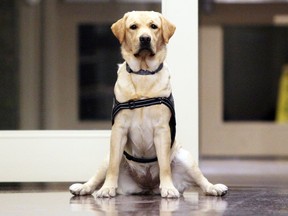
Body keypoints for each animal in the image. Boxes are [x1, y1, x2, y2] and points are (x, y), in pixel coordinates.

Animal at [70, 11, 227, 198]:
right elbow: (113, 167)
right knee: (99, 174)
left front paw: (168, 187)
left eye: (154, 26)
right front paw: (107, 188)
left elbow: (164, 165)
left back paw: (213, 187)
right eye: (133, 27)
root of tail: (147, 186)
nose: (145, 38)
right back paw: (84, 187)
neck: (143, 73)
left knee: (201, 180)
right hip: (107, 157)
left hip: (185, 157)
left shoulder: (162, 130)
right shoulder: (119, 130)